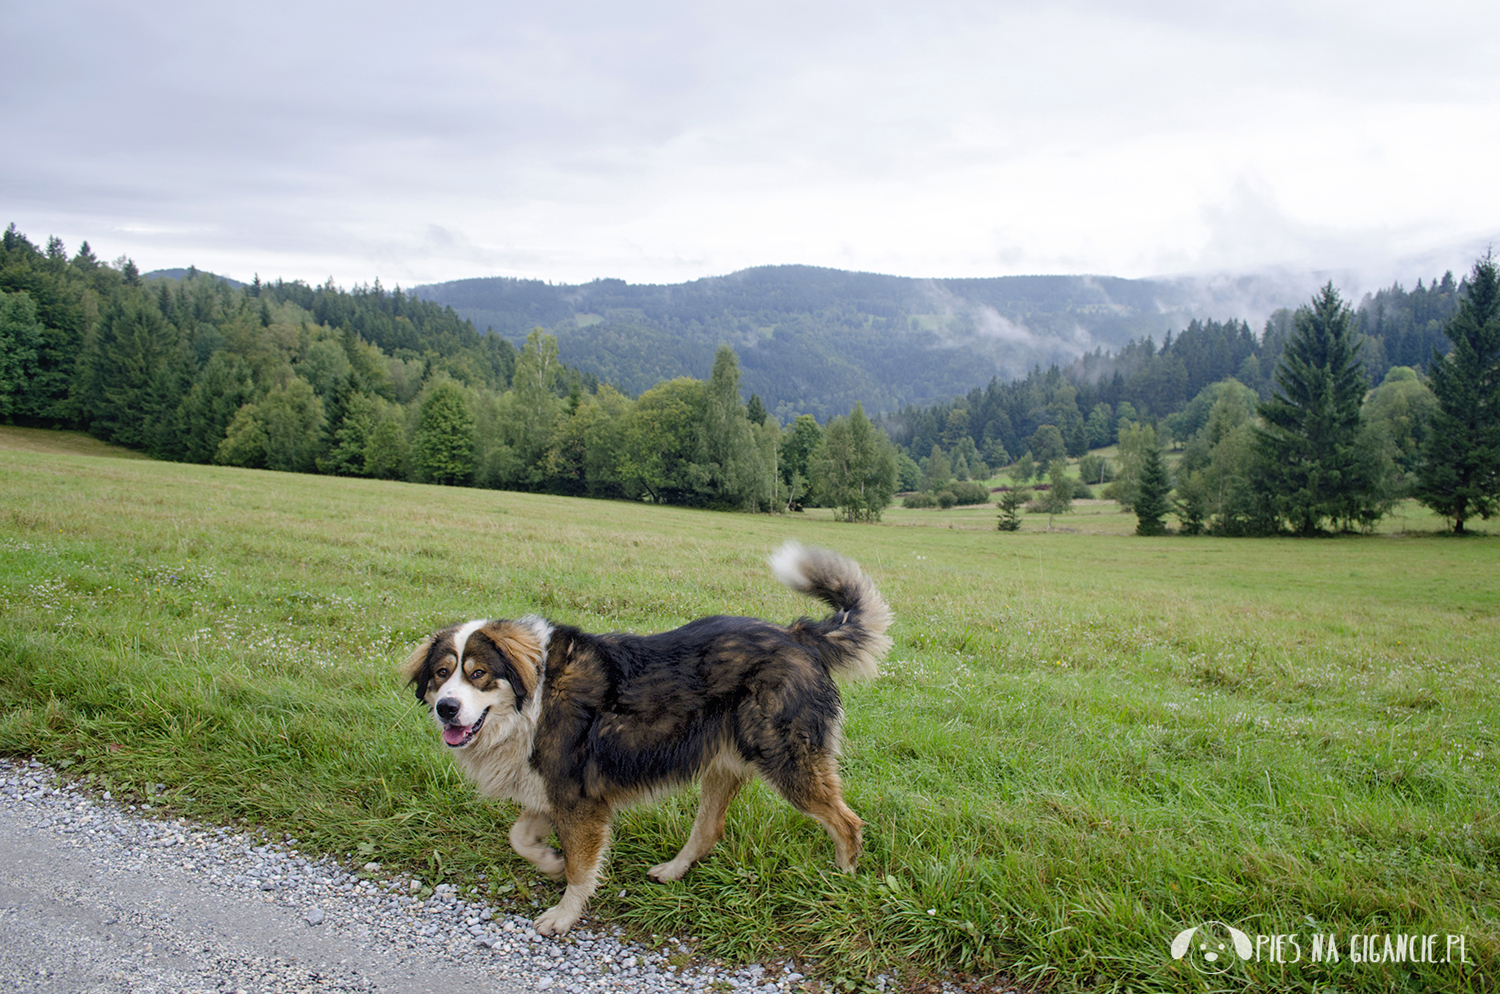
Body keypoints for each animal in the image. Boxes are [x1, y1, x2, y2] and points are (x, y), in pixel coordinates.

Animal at [399, 539, 888, 935]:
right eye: (441, 674)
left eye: (478, 674)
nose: (446, 708)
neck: (532, 698)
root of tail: (798, 636)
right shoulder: (548, 788)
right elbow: (518, 837)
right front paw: (550, 861)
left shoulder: (578, 801)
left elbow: (580, 867)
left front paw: (564, 913)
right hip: (724, 762)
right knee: (708, 829)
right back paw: (673, 871)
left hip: (786, 761)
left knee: (847, 823)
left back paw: (841, 880)